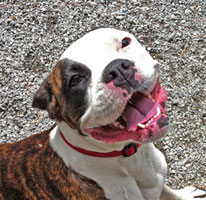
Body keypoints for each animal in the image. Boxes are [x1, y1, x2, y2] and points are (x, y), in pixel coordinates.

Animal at [0, 28, 206, 200]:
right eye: (75, 79)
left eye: (125, 42)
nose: (117, 68)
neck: (124, 158)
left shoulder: (158, 182)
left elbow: (171, 194)